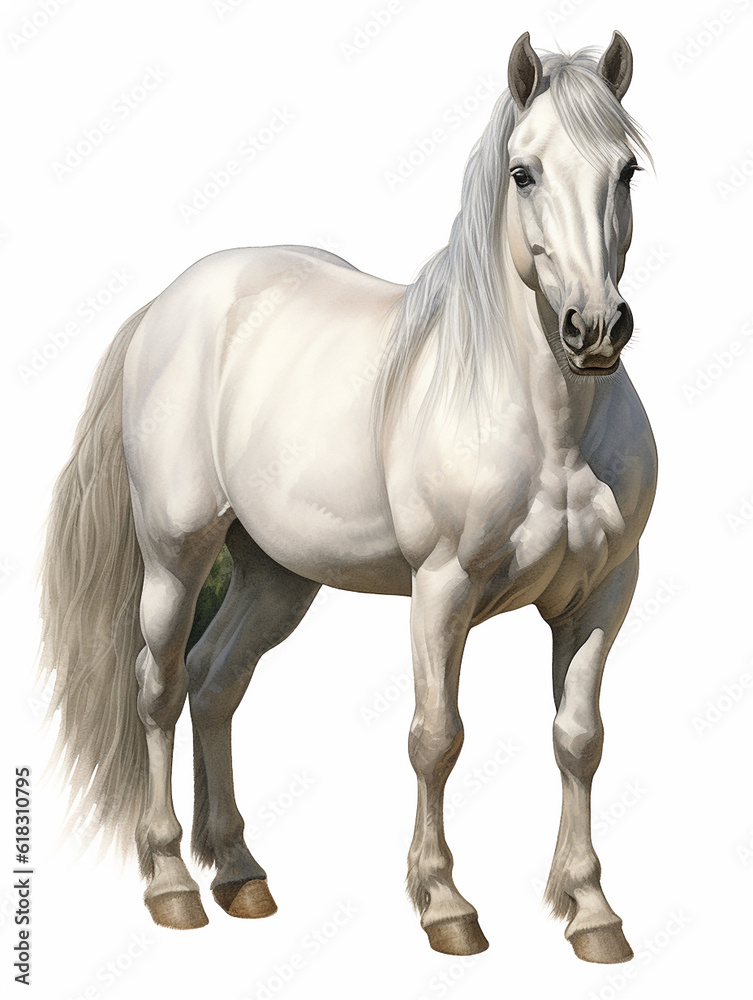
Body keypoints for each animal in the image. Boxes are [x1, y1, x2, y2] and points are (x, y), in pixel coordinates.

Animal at [40, 31, 657, 963]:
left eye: (624, 170)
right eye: (522, 172)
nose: (593, 329)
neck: (549, 426)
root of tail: (167, 305)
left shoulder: (602, 595)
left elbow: (579, 740)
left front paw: (590, 912)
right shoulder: (442, 589)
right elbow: (436, 738)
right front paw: (444, 906)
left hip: (275, 576)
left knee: (214, 681)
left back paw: (239, 875)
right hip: (174, 556)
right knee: (157, 685)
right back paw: (172, 884)